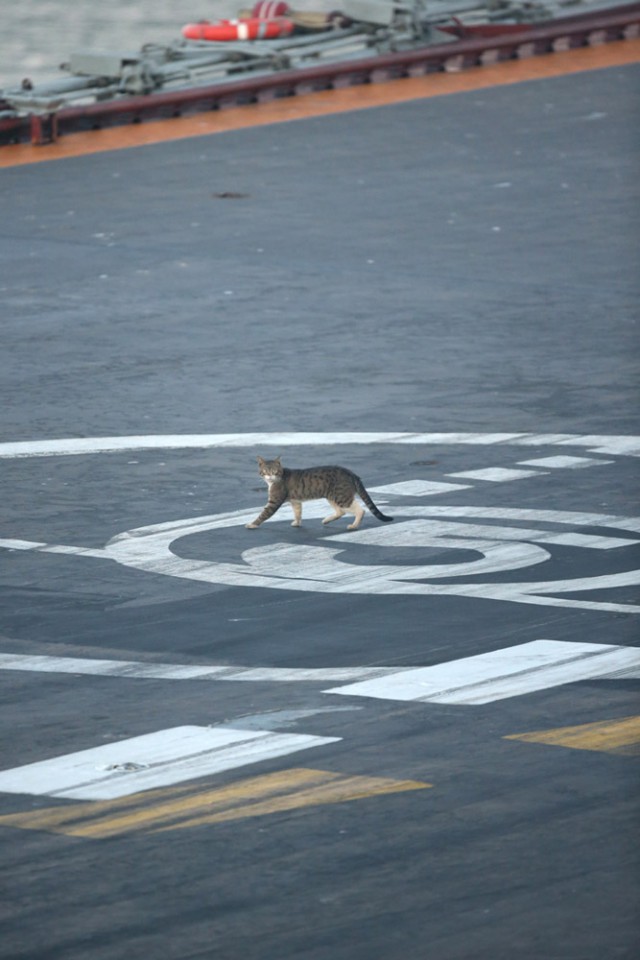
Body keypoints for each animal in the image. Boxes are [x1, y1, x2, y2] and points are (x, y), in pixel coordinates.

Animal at [246, 454, 392, 528]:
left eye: (275, 471)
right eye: (265, 471)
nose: (270, 476)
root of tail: (351, 473)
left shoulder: (274, 501)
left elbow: (263, 514)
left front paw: (252, 524)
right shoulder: (295, 501)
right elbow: (298, 513)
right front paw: (297, 523)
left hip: (341, 496)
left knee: (360, 510)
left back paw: (353, 525)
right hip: (333, 496)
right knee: (341, 512)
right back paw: (327, 520)